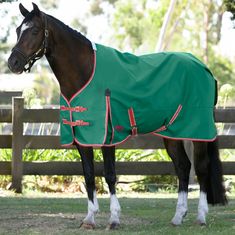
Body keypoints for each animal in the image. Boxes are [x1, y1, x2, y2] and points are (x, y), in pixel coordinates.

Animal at [7, 2, 228, 229]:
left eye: (34, 30)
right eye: (17, 30)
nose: (13, 62)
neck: (85, 73)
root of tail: (203, 67)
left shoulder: (107, 136)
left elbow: (110, 175)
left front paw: (113, 218)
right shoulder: (82, 138)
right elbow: (88, 175)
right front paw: (89, 218)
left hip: (197, 131)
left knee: (201, 168)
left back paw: (201, 216)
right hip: (172, 133)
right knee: (183, 167)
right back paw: (177, 216)